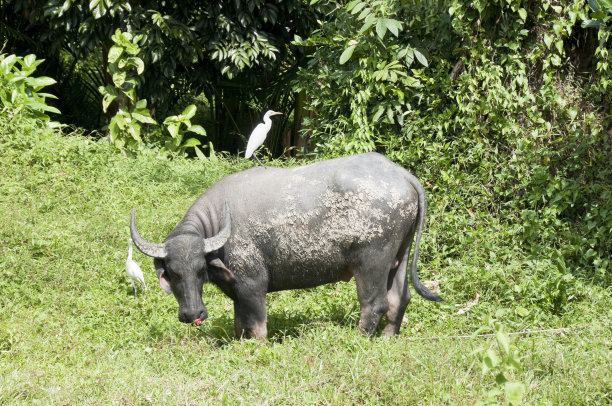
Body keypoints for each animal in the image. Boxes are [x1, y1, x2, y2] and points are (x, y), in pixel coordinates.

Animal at [131, 151, 442, 338]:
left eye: (199, 270)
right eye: (173, 273)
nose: (193, 314)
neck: (219, 224)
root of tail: (401, 174)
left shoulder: (252, 285)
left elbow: (256, 326)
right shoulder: (237, 291)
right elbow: (239, 324)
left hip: (371, 262)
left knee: (375, 304)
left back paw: (360, 339)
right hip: (399, 257)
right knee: (399, 298)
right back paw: (388, 339)